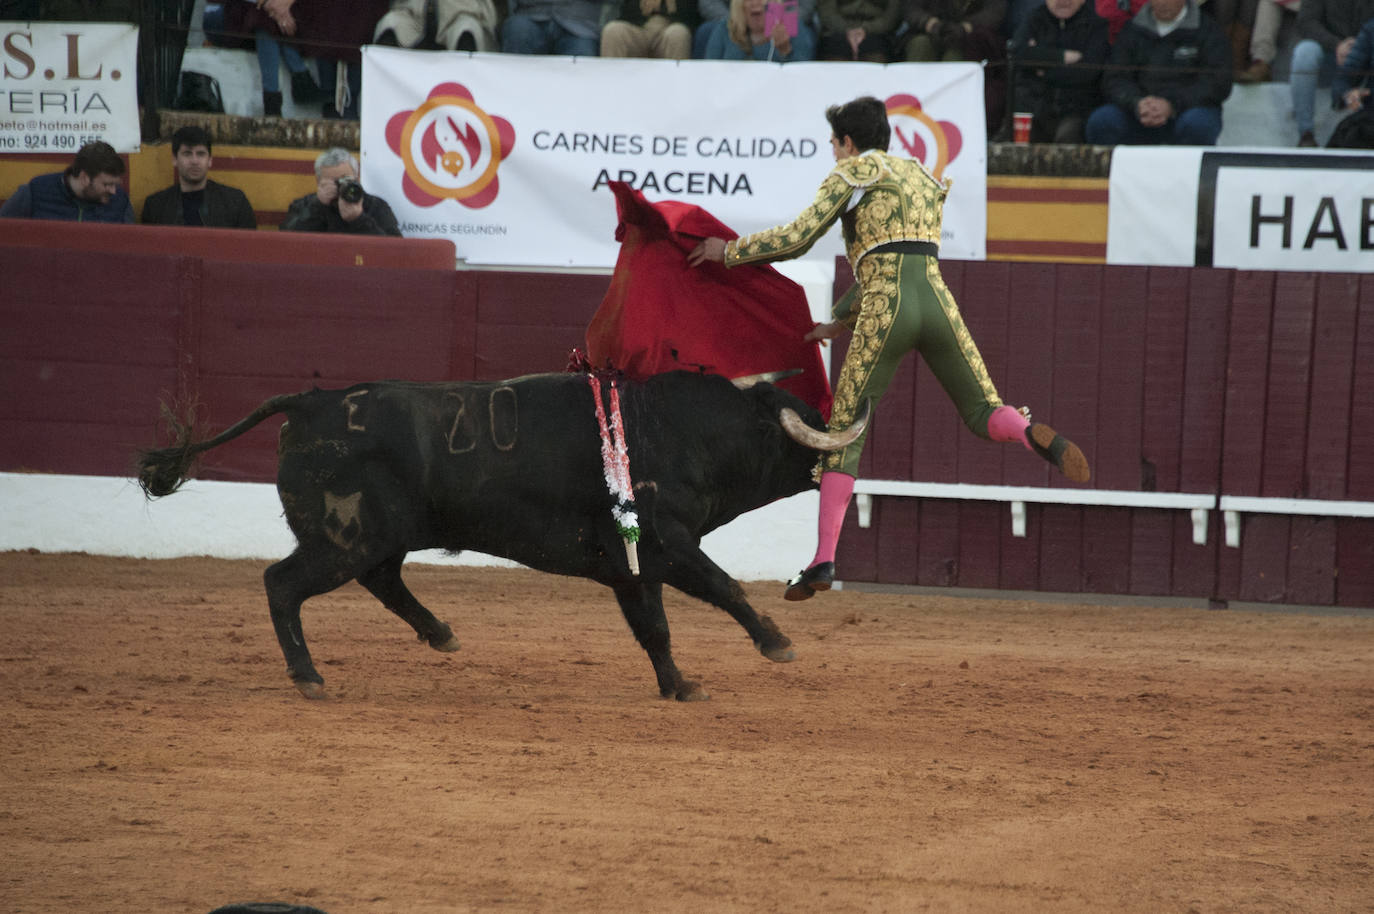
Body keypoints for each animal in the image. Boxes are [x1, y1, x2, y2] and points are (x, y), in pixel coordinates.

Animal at [139, 371, 868, 698]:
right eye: (805, 422)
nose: (853, 454)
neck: (685, 429)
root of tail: (310, 402)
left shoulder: (631, 566)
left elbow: (653, 628)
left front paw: (676, 685)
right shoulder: (665, 545)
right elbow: (724, 588)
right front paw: (776, 643)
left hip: (380, 537)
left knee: (382, 580)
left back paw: (441, 634)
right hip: (343, 540)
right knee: (282, 584)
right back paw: (309, 676)